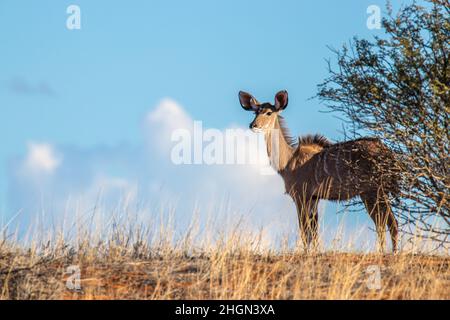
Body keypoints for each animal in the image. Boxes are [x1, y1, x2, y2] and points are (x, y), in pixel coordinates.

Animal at [241, 90, 400, 252]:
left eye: (268, 112)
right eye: (255, 112)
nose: (253, 125)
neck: (288, 160)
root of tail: (388, 153)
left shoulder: (301, 196)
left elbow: (305, 231)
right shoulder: (313, 198)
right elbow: (313, 231)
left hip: (374, 192)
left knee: (389, 222)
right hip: (371, 194)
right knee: (385, 223)